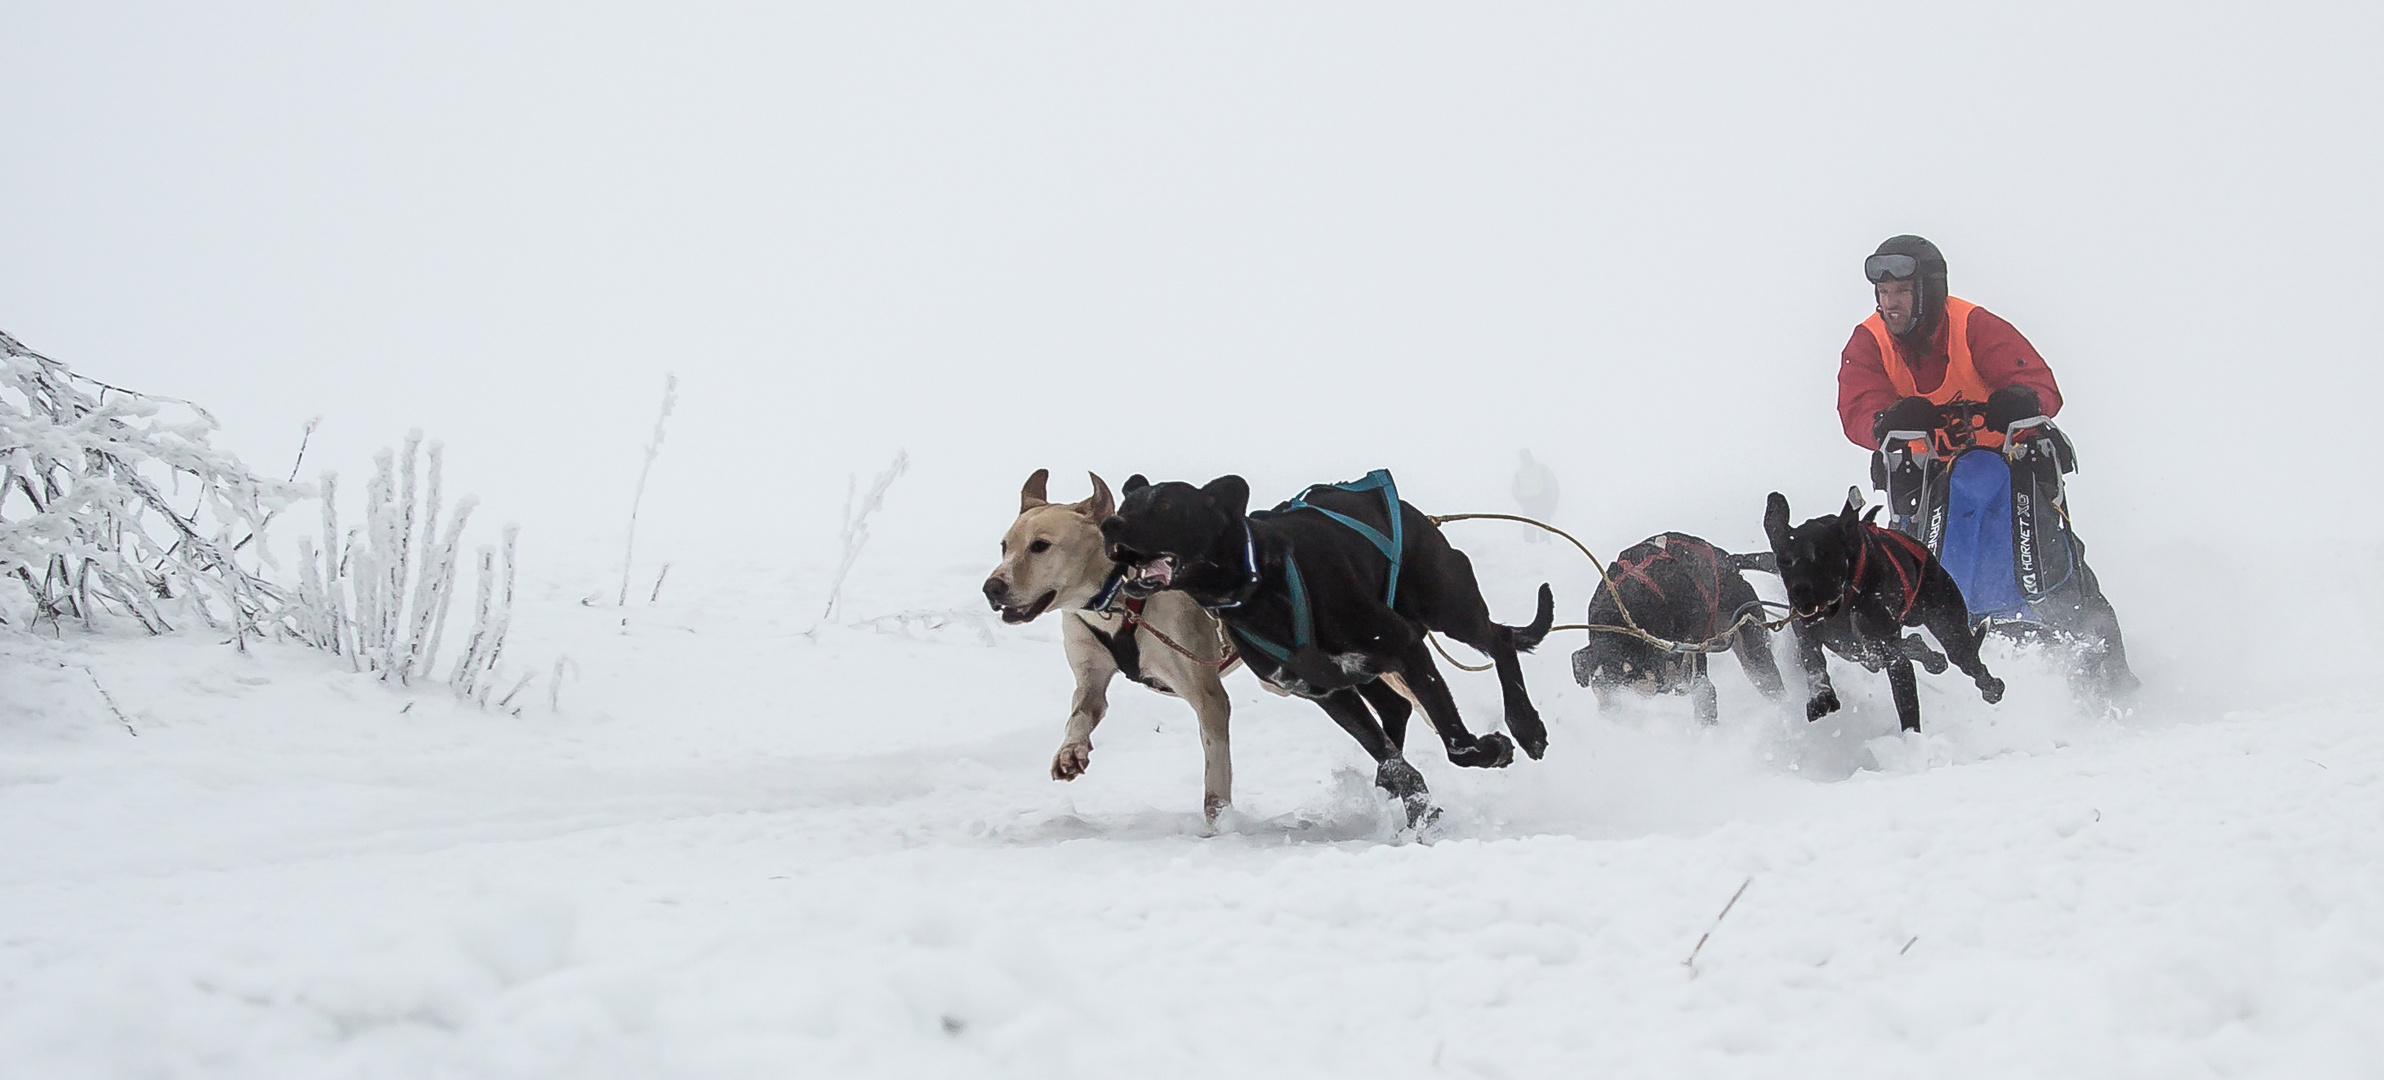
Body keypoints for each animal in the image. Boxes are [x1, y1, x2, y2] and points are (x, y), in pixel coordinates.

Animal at [982, 467, 1249, 820]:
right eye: (1004, 546)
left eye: (1040, 546)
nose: (991, 587)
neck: (1115, 600)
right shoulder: (1090, 676)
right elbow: (1082, 712)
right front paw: (1071, 751)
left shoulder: (1209, 698)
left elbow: (1215, 778)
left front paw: (1220, 823)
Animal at [1091, 467, 1554, 820]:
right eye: (1127, 507)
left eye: (1166, 506)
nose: (1110, 526)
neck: (1261, 585)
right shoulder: (1328, 692)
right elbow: (1392, 759)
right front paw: (1420, 810)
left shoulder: (1404, 647)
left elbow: (1457, 744)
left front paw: (1492, 749)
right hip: (1368, 671)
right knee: (1397, 710)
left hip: (1446, 608)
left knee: (1499, 639)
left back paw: (1526, 725)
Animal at [1764, 491, 2002, 734]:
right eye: (1785, 561)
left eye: (1823, 555)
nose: (1800, 590)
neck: (1847, 597)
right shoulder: (1808, 638)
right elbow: (1813, 664)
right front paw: (1820, 695)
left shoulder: (1895, 659)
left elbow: (1906, 703)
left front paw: (1911, 740)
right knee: (1909, 646)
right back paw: (1929, 655)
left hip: (1949, 629)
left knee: (1968, 660)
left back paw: (1991, 687)